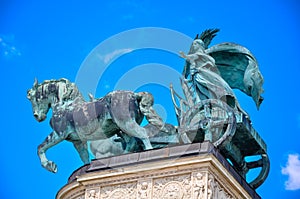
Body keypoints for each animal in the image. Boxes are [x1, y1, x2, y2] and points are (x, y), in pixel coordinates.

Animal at [27, 77, 164, 173]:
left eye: (33, 97)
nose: (37, 116)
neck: (65, 105)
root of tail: (134, 95)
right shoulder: (77, 140)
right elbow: (84, 156)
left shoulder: (59, 134)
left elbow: (40, 147)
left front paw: (51, 165)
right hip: (122, 129)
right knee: (132, 142)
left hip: (126, 124)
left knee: (142, 134)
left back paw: (148, 153)